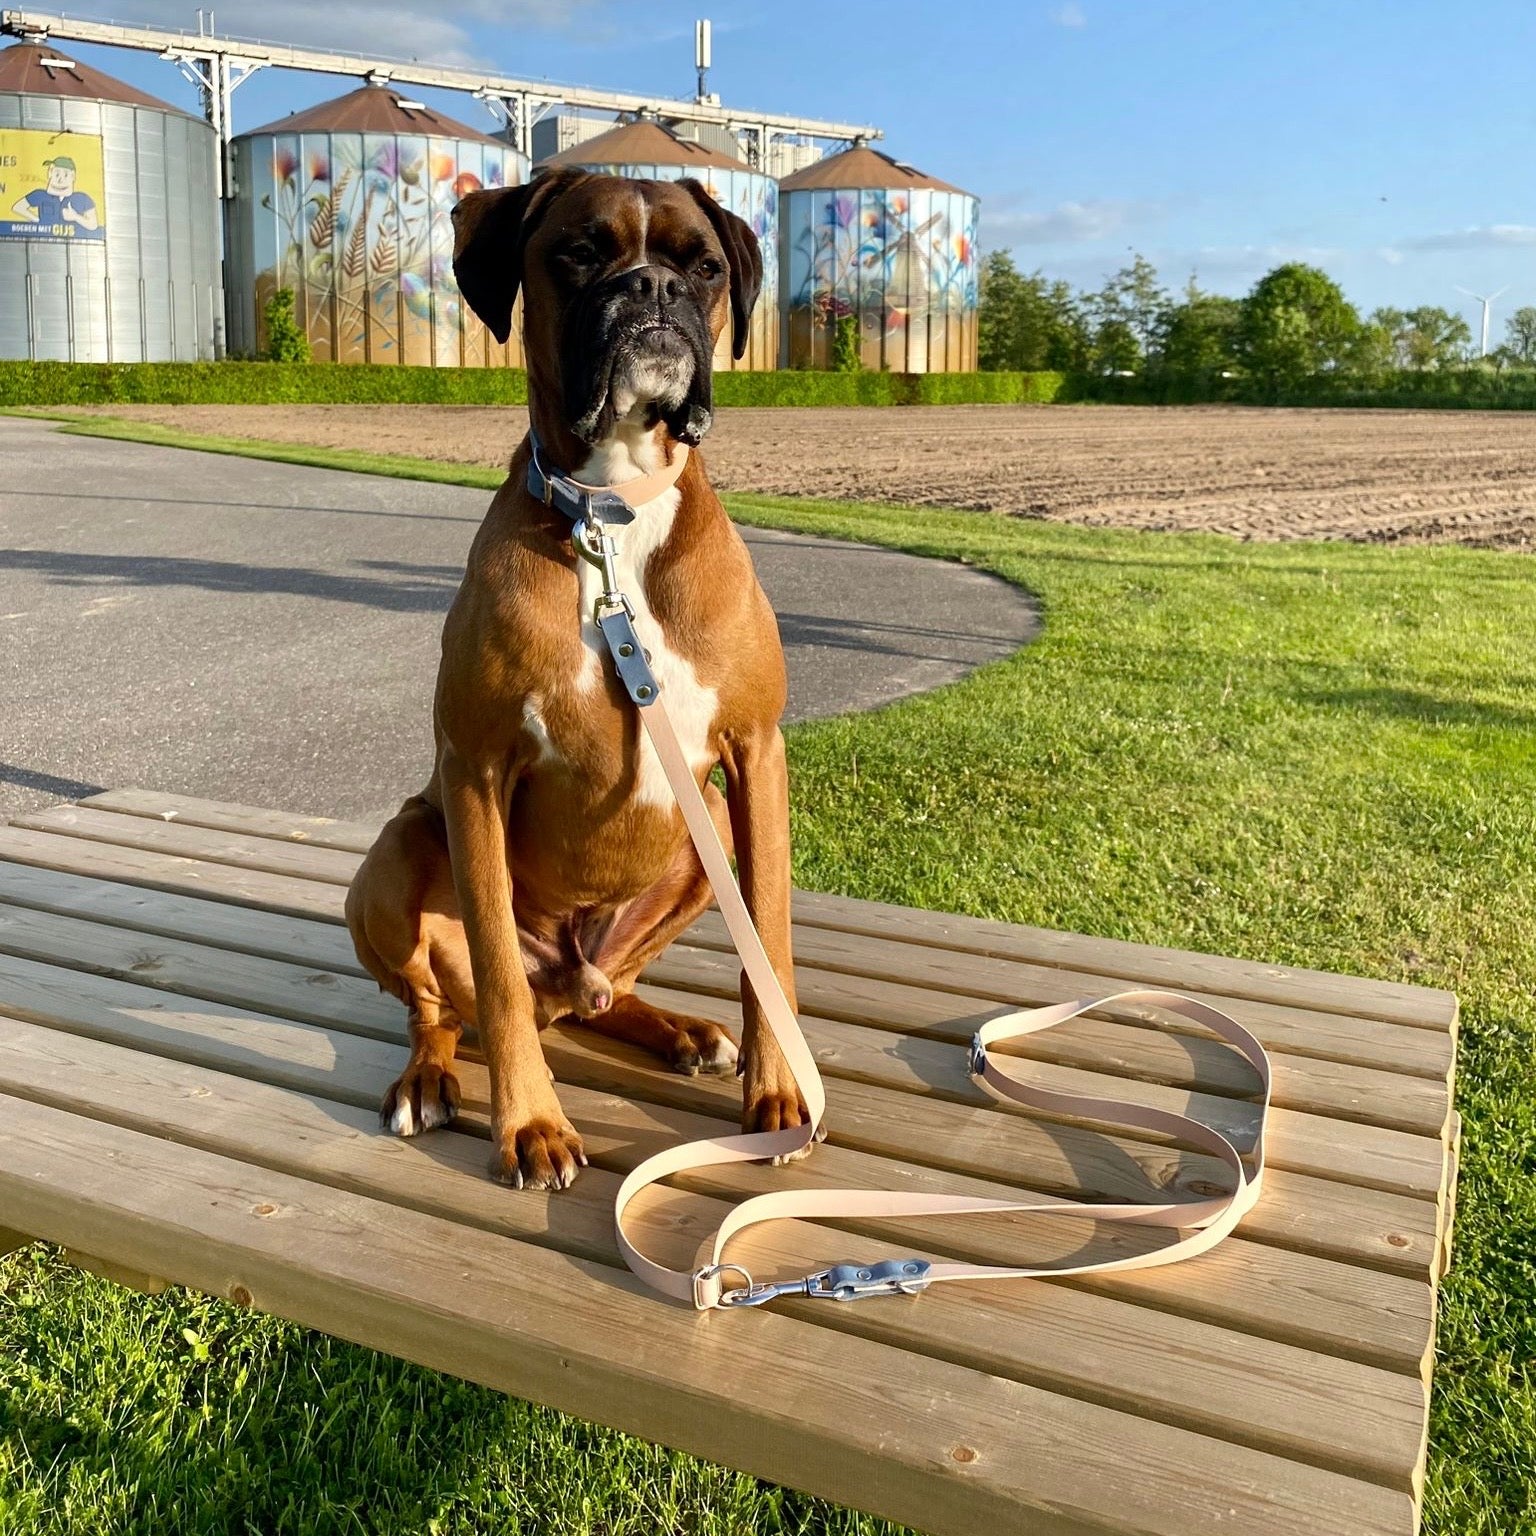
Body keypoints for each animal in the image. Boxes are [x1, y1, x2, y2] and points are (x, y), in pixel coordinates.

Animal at [344, 174, 811, 1191]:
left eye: (704, 269)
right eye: (579, 253)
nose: (652, 291)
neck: (611, 511)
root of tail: (570, 977)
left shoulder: (754, 757)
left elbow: (769, 944)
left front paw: (777, 1090)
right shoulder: (474, 769)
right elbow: (495, 978)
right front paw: (530, 1124)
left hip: (707, 835)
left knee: (609, 991)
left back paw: (678, 1030)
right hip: (396, 852)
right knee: (447, 1009)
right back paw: (428, 1080)